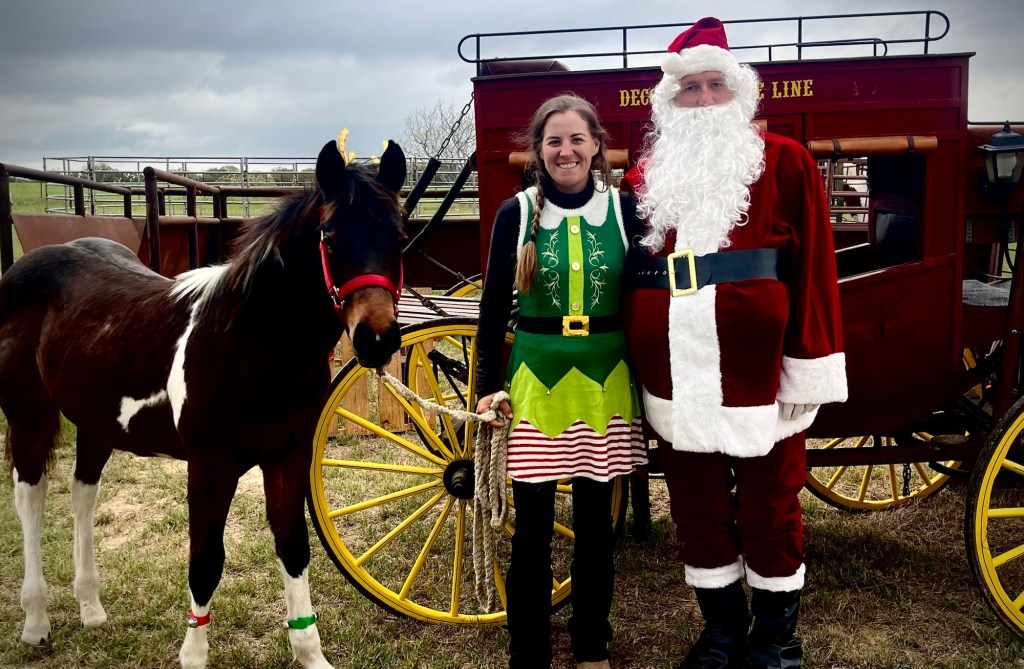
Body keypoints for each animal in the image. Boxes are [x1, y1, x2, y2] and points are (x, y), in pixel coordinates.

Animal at [0, 138, 406, 669]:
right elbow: (206, 561)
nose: (377, 339)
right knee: (30, 495)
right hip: (29, 413)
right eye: (331, 236)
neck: (247, 344)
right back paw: (35, 621)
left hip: (95, 421)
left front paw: (310, 654)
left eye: (400, 235)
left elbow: (294, 547)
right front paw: (193, 654)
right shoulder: (211, 465)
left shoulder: (287, 457)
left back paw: (91, 608)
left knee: (82, 493)